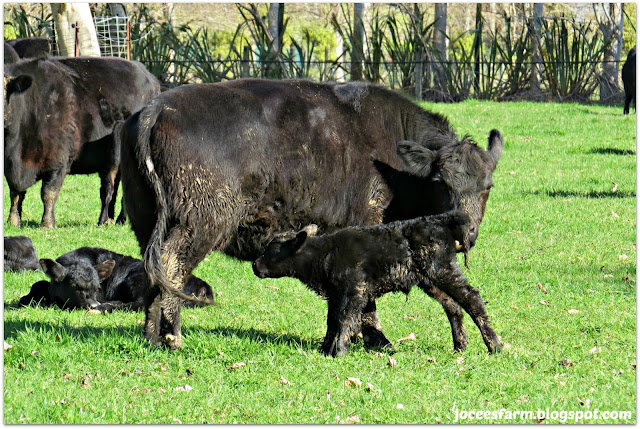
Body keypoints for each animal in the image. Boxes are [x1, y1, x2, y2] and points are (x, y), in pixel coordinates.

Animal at [4, 44, 161, 227]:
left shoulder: (59, 161)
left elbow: (48, 193)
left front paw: (47, 224)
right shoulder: (10, 165)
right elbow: (15, 193)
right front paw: (13, 220)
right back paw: (112, 219)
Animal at [19, 246, 212, 310]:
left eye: (98, 287)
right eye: (75, 287)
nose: (93, 304)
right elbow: (38, 284)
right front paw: (26, 299)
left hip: (137, 281)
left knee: (139, 304)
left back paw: (109, 306)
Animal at [252, 211, 502, 358]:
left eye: (272, 250)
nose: (255, 265)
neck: (324, 253)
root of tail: (440, 220)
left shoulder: (355, 291)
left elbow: (345, 320)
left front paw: (339, 352)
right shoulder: (336, 295)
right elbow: (332, 322)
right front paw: (325, 350)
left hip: (442, 271)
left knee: (472, 298)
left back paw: (495, 346)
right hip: (430, 281)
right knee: (453, 306)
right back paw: (460, 346)